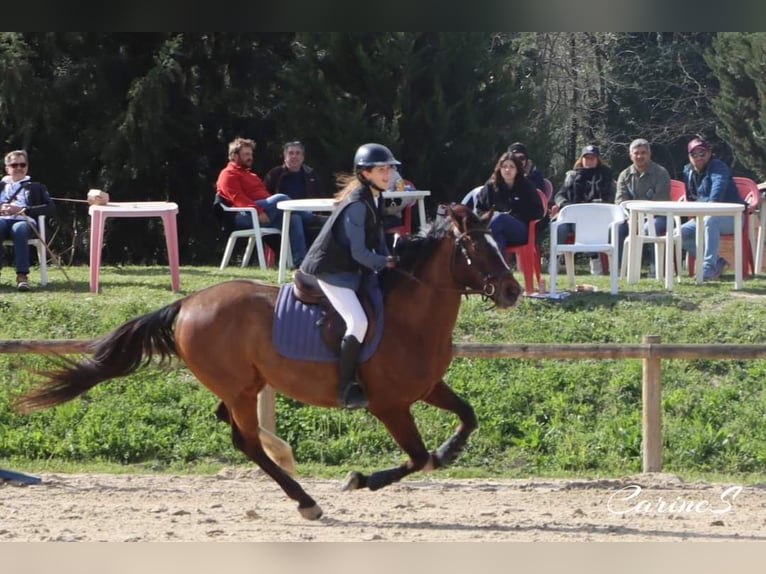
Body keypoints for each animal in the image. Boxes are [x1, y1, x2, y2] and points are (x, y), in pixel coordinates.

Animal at [16, 206, 520, 520]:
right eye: (478, 248)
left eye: (500, 243)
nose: (513, 291)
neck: (412, 317)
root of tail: (187, 302)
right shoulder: (390, 406)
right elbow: (416, 458)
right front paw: (359, 480)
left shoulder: (428, 387)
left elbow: (467, 418)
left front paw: (448, 451)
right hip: (240, 386)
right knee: (245, 440)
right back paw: (306, 501)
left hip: (245, 383)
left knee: (235, 425)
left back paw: (291, 472)